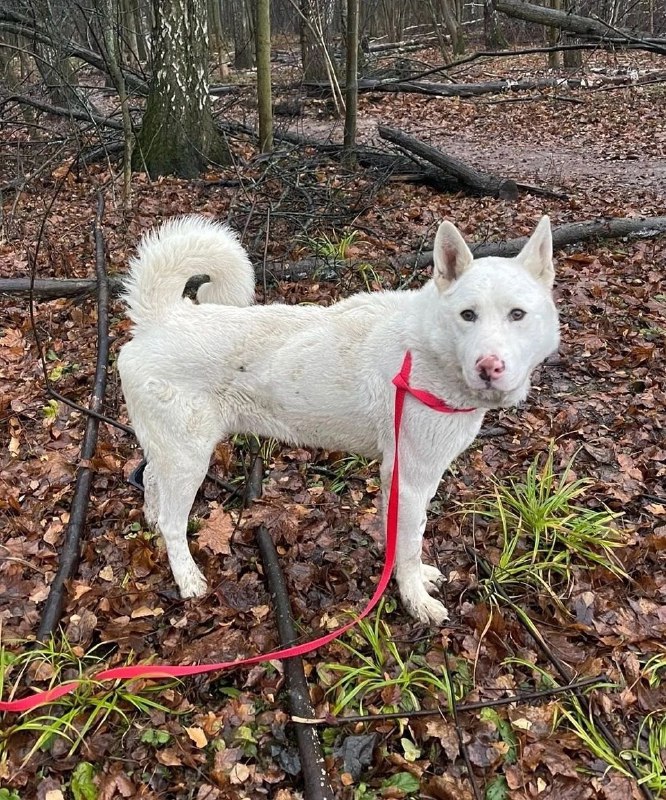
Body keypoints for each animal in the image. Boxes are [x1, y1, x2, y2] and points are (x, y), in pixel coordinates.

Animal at [118, 214, 556, 624]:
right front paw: (415, 600)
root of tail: (161, 317)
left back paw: (151, 519)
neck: (425, 352)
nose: (489, 366)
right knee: (173, 523)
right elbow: (410, 545)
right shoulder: (410, 479)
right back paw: (188, 579)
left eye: (517, 314)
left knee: (152, 483)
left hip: (174, 455)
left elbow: (403, 536)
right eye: (468, 315)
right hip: (190, 460)